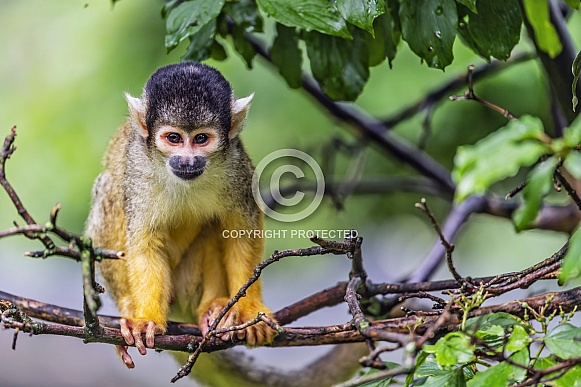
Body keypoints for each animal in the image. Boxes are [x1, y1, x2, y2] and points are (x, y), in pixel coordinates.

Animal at [85, 62, 276, 368]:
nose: (187, 161)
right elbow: (144, 244)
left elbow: (241, 233)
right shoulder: (138, 169)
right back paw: (129, 306)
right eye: (173, 138)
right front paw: (146, 321)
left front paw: (250, 311)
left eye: (201, 139)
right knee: (110, 189)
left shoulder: (235, 165)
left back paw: (213, 309)